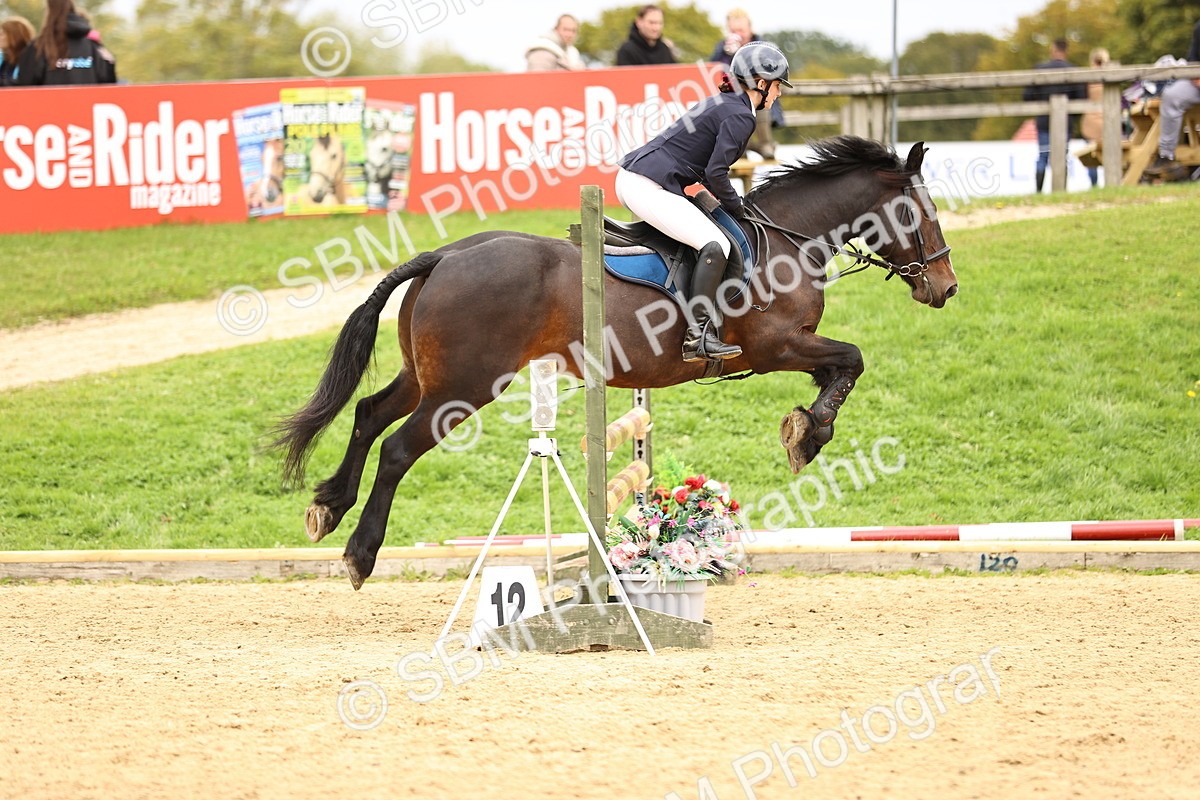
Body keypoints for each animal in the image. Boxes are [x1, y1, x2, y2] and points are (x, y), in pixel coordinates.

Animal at [272, 136, 959, 589]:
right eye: (917, 213)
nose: (946, 288)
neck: (788, 237)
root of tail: (445, 255)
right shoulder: (779, 345)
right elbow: (853, 360)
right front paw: (807, 438)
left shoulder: (797, 350)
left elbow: (839, 372)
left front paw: (805, 427)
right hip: (463, 388)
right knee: (396, 449)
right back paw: (360, 554)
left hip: (426, 377)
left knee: (367, 414)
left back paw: (327, 506)